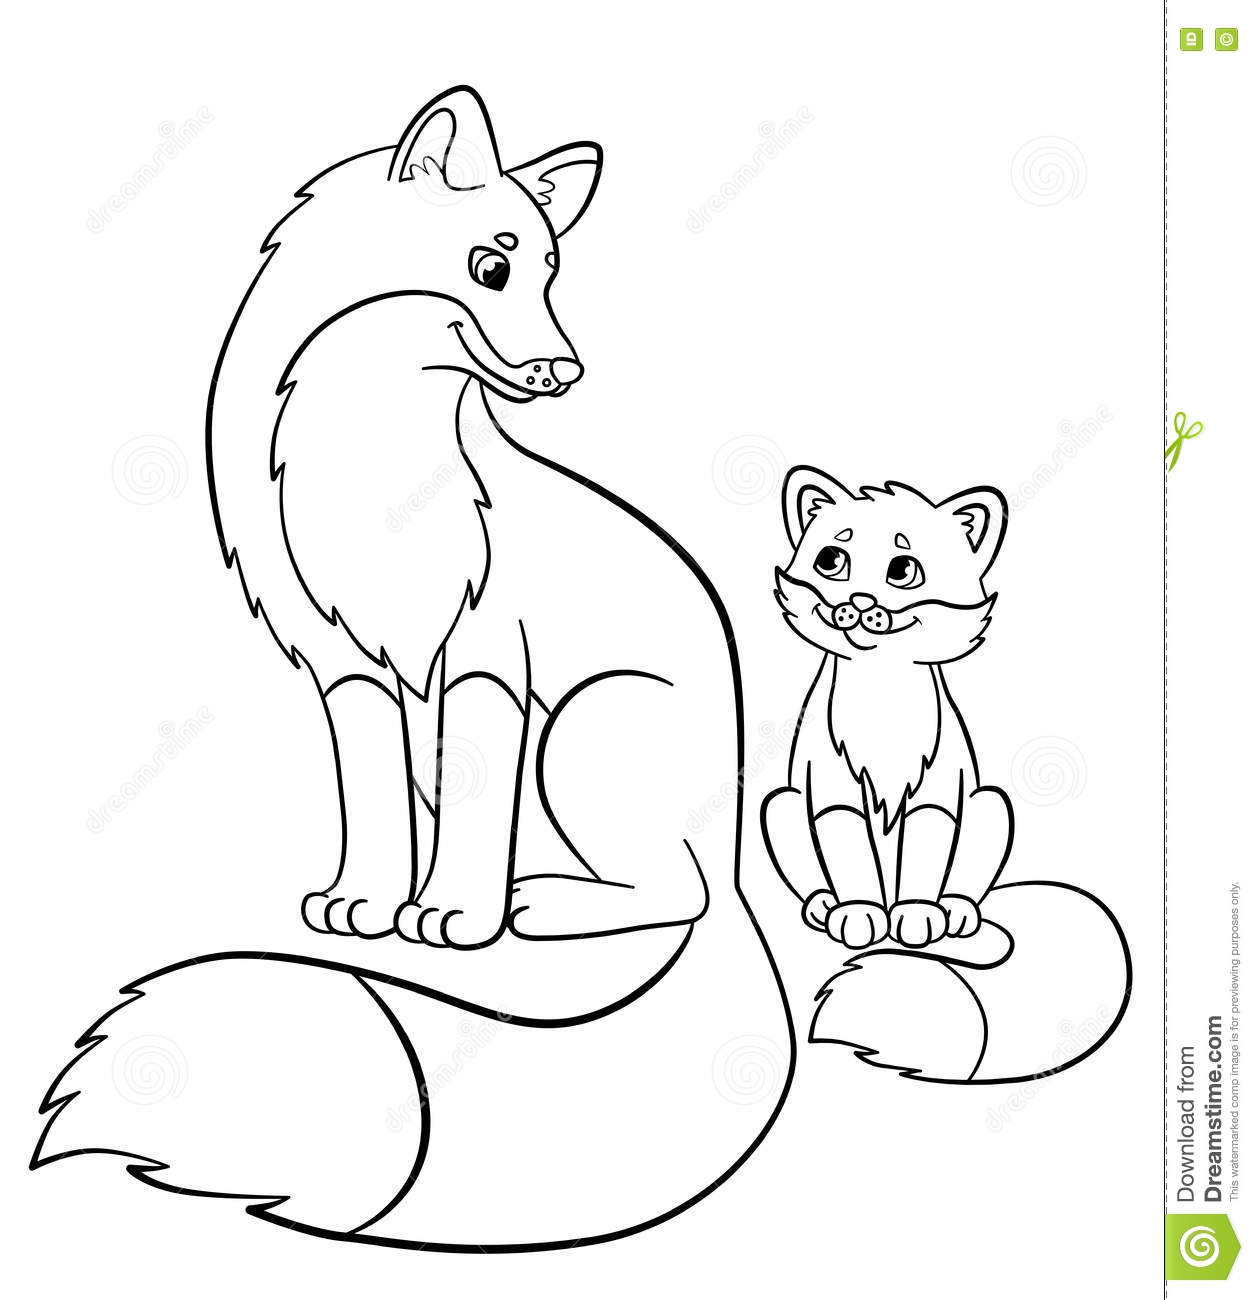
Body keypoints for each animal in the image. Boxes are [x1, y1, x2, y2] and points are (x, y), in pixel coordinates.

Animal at [33, 88, 793, 1251]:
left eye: (552, 271)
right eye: (491, 268)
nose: (566, 374)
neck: (371, 459)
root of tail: (745, 852)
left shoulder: (481, 664)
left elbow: (471, 837)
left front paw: (458, 920)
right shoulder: (343, 669)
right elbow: (375, 810)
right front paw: (365, 902)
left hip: (581, 732)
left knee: (679, 894)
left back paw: (540, 903)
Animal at [762, 468, 1131, 1083]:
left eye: (902, 570)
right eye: (832, 559)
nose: (859, 603)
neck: (881, 696)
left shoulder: (937, 799)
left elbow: (923, 863)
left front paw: (915, 916)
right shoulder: (833, 799)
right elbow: (852, 862)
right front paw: (861, 914)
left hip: (991, 804)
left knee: (964, 885)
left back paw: (955, 911)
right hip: (779, 804)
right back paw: (822, 905)